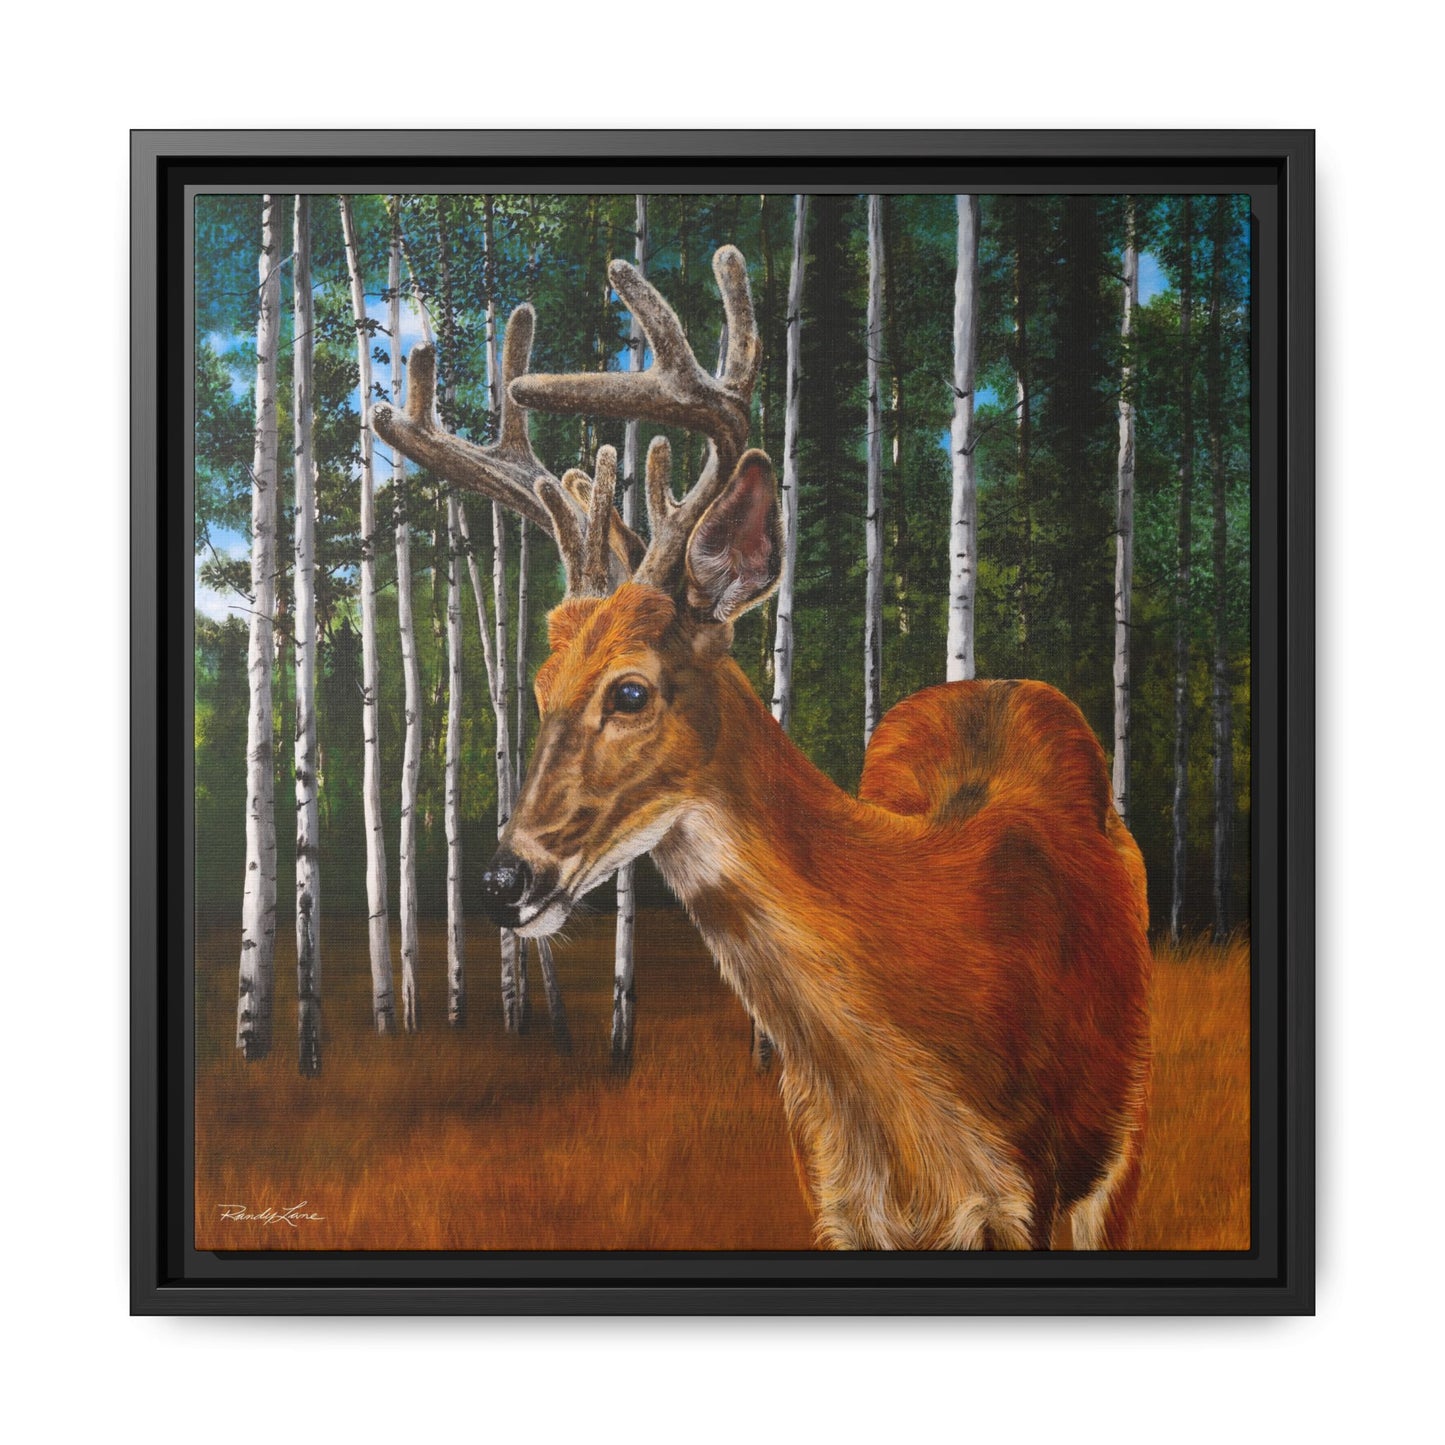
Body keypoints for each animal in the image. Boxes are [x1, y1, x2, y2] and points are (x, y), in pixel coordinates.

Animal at [373, 243, 1152, 1251]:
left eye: (630, 690)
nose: (504, 880)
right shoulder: (828, 1192)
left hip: (1120, 1148)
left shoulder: (1032, 1194)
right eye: (539, 688)